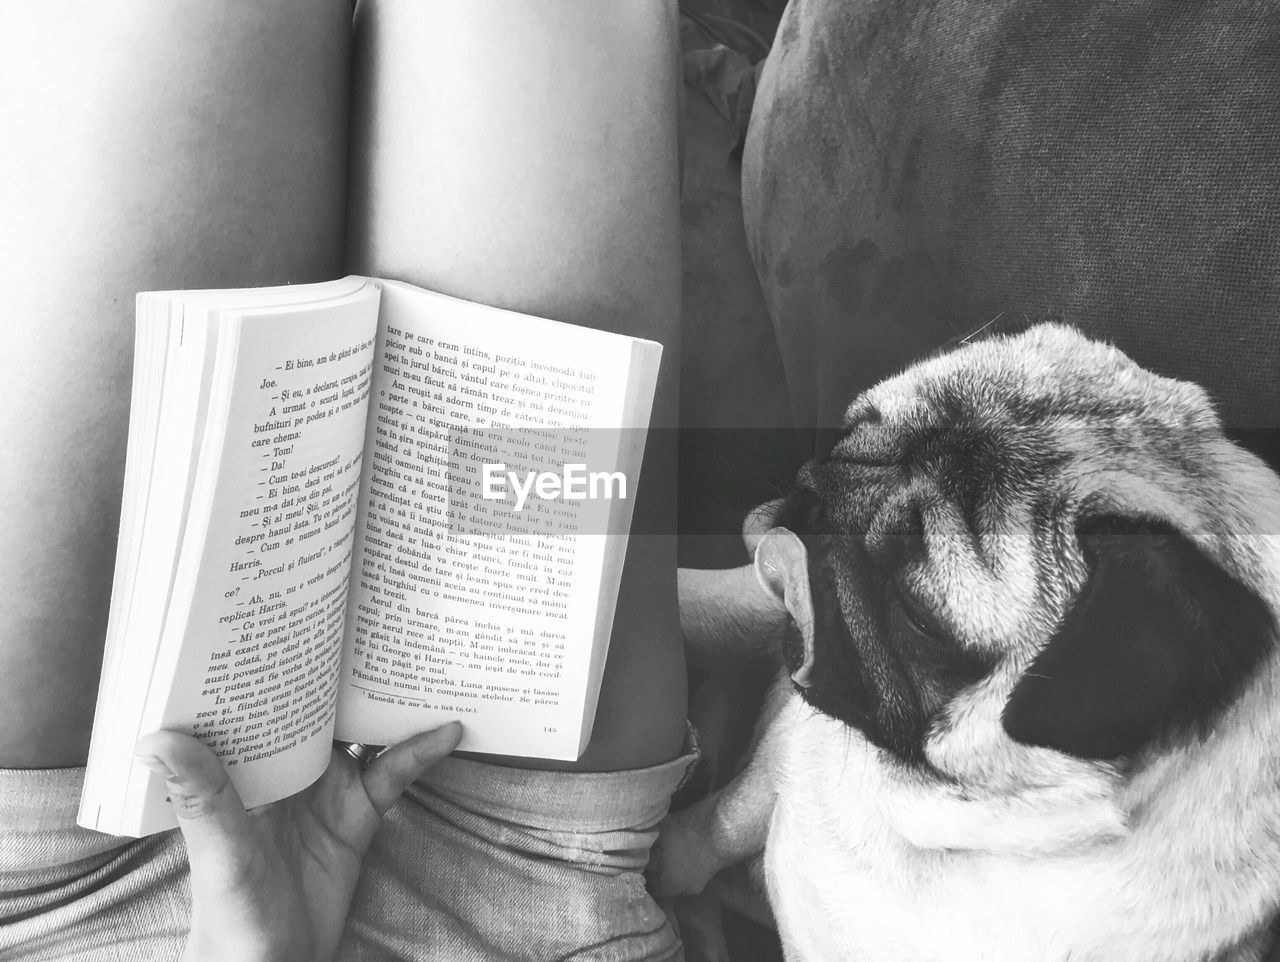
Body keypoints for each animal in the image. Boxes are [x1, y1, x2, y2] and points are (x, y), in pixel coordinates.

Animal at [655, 324, 1280, 961]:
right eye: (847, 436)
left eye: (918, 618)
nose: (820, 510)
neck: (912, 815)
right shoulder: (783, 750)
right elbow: (723, 819)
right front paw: (669, 857)